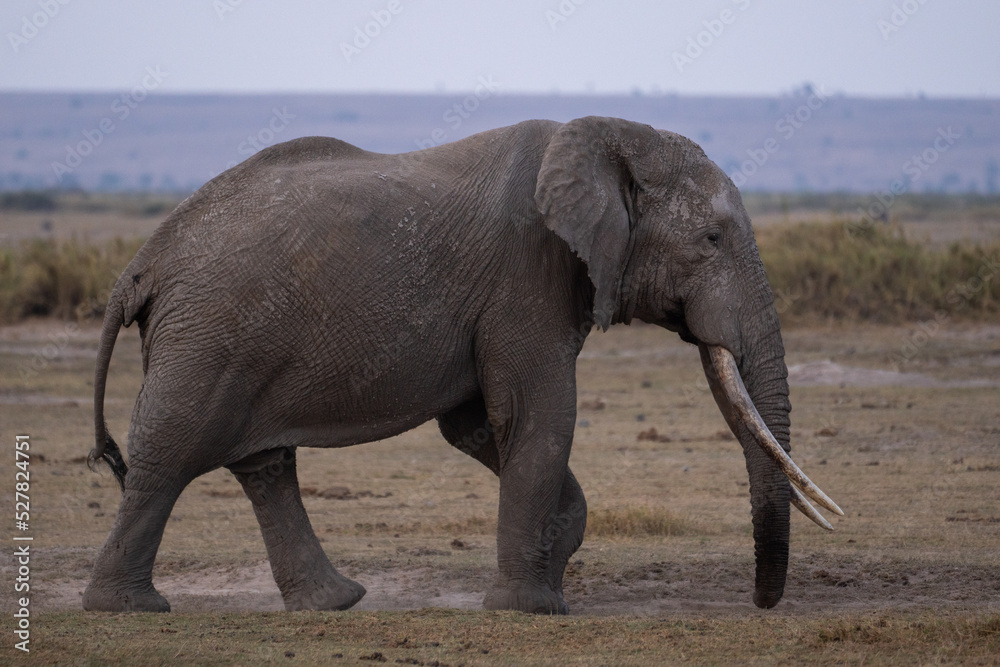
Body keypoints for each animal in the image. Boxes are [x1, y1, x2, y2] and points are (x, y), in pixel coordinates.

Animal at [84, 116, 841, 615]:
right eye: (711, 240)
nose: (762, 605)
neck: (607, 136)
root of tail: (141, 262)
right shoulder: (527, 273)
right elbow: (536, 414)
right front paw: (529, 607)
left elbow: (479, 425)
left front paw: (550, 572)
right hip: (209, 336)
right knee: (171, 452)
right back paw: (127, 609)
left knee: (264, 465)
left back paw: (333, 603)